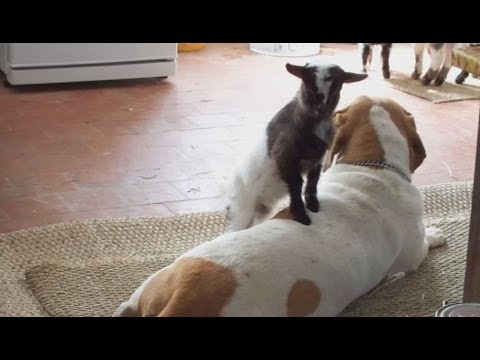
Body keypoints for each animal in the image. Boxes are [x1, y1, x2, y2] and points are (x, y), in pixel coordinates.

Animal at [113, 96, 446, 318]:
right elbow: (424, 245)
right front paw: (436, 233)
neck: (372, 165)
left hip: (152, 284)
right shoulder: (414, 255)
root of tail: (182, 299)